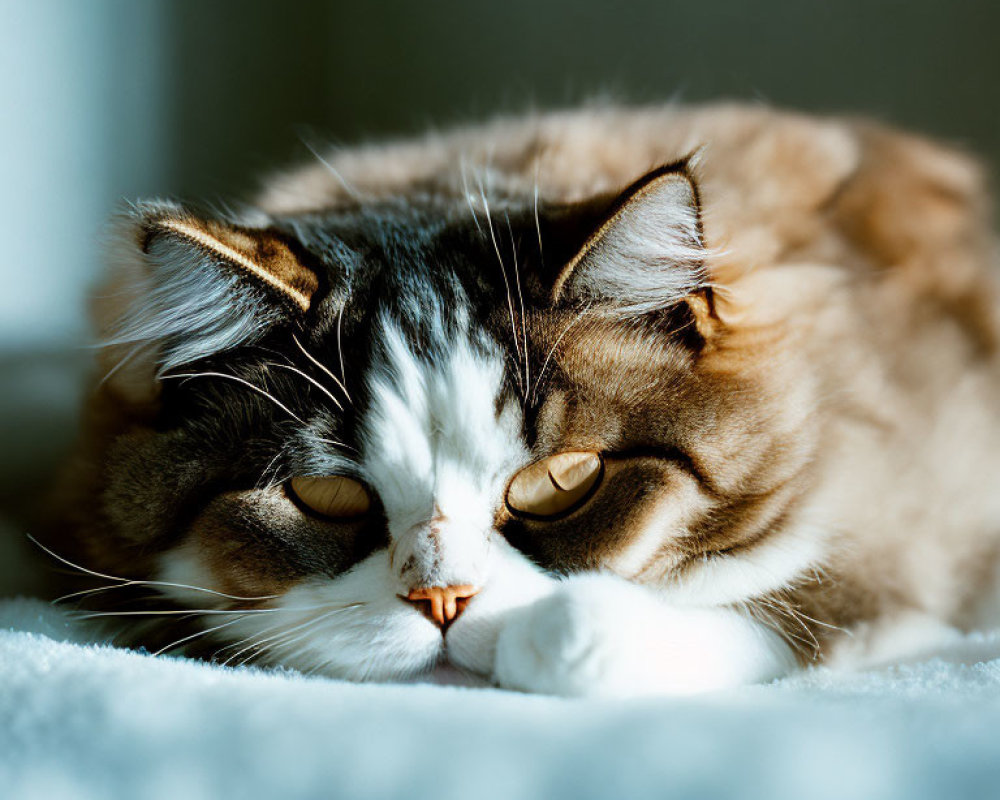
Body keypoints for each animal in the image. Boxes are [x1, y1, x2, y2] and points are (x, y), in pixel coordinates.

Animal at [43, 103, 1000, 696]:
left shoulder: (894, 531)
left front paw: (543, 631)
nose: (444, 603)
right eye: (326, 495)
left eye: (561, 482)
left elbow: (740, 603)